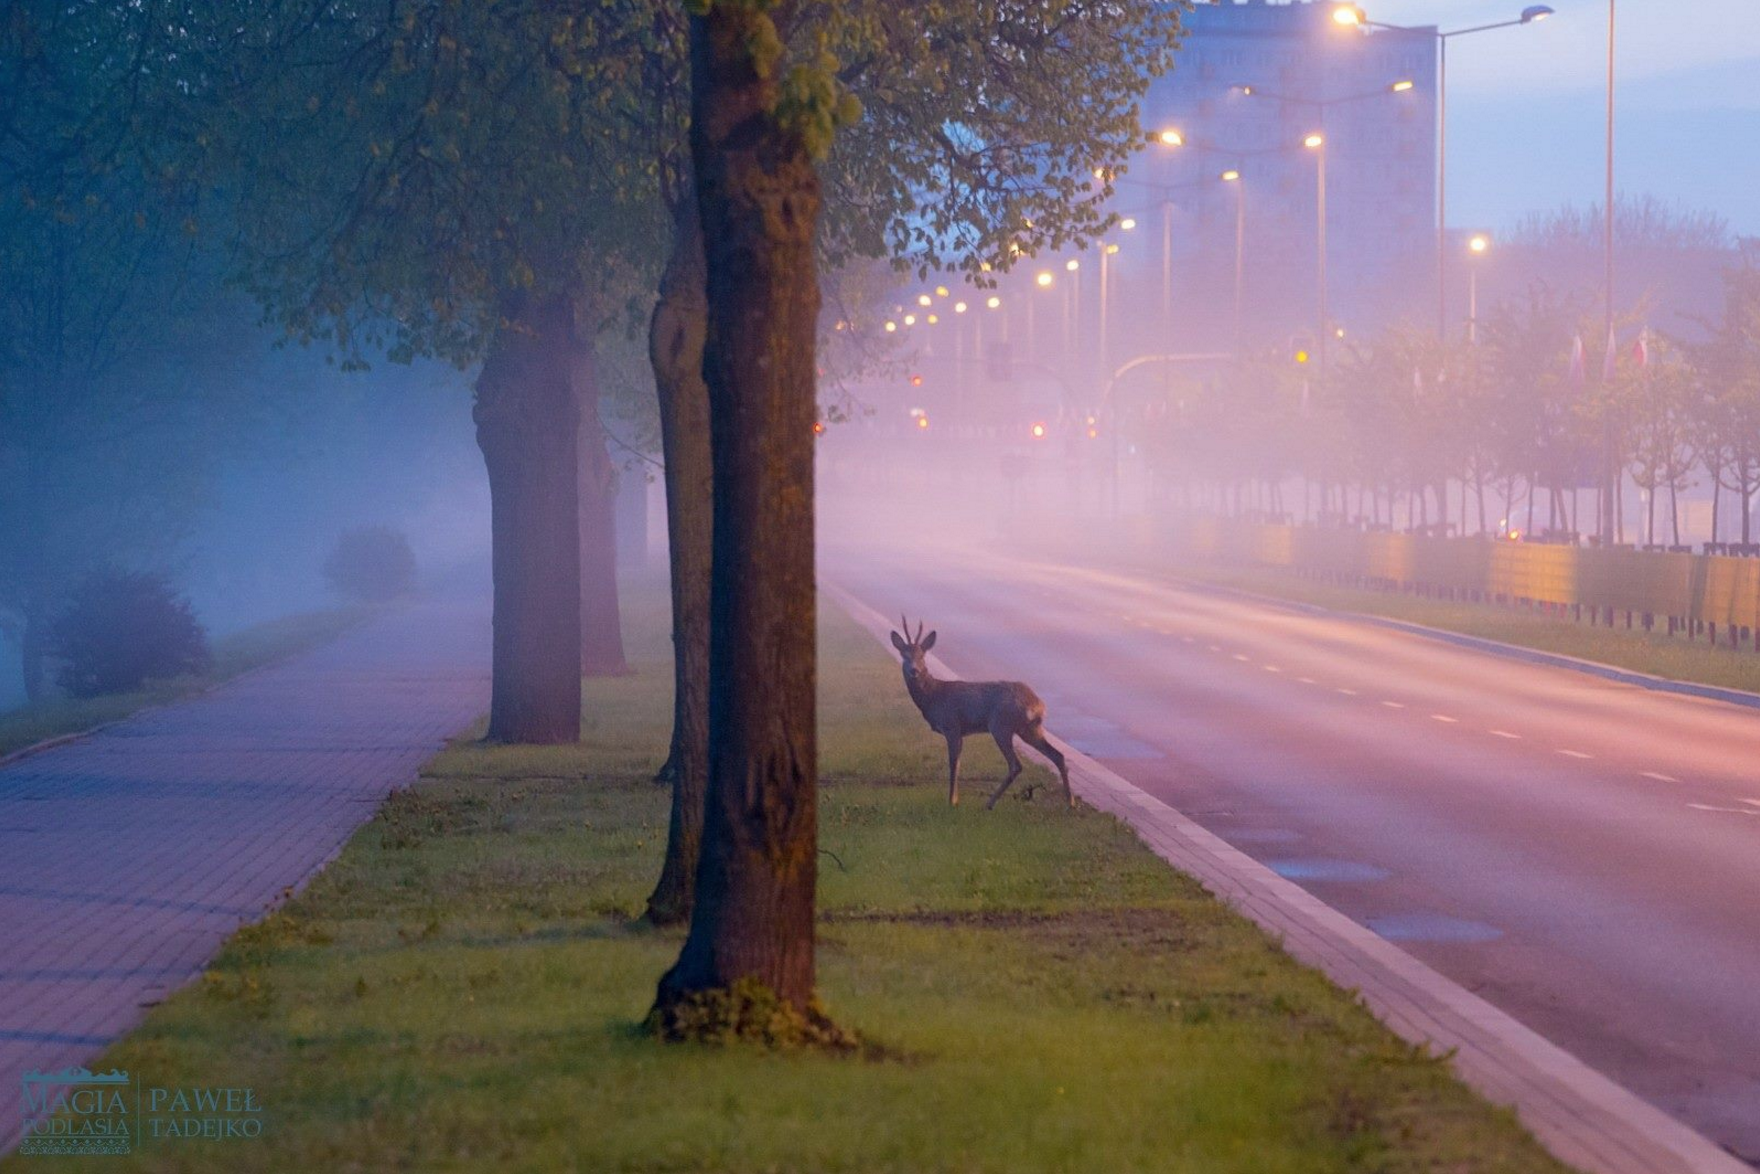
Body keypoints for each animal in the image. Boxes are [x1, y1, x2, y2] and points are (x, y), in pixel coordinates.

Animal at [880, 623, 1070, 809]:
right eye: (904, 654)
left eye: (922, 655)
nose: (914, 670)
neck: (933, 696)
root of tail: (1037, 704)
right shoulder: (959, 732)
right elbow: (958, 762)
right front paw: (955, 799)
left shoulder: (951, 725)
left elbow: (953, 763)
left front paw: (951, 801)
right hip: (1030, 728)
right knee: (1057, 755)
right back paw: (1070, 803)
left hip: (1001, 725)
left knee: (1016, 765)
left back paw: (989, 803)